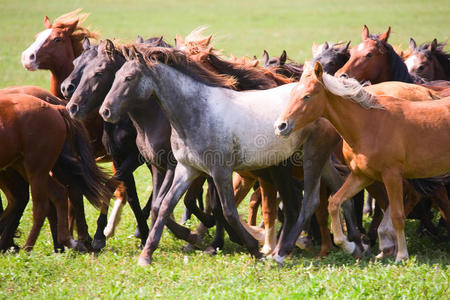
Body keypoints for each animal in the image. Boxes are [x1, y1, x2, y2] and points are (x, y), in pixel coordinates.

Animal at [274, 62, 450, 262]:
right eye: (292, 93)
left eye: (307, 96)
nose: (281, 126)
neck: (369, 124)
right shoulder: (362, 176)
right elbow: (335, 202)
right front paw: (349, 245)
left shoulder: (391, 176)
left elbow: (397, 215)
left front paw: (402, 255)